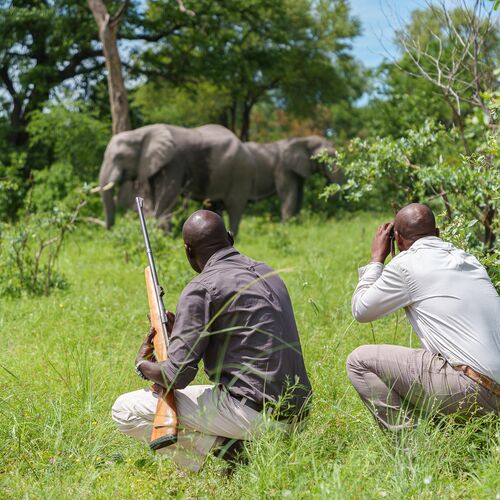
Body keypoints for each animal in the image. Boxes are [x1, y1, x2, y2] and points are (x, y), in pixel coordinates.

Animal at [96, 124, 254, 235]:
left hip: (241, 172)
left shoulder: (174, 161)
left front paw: (163, 233)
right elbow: (155, 194)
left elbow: (168, 193)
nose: (109, 231)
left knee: (234, 207)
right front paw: (164, 231)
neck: (140, 132)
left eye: (119, 157)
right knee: (214, 206)